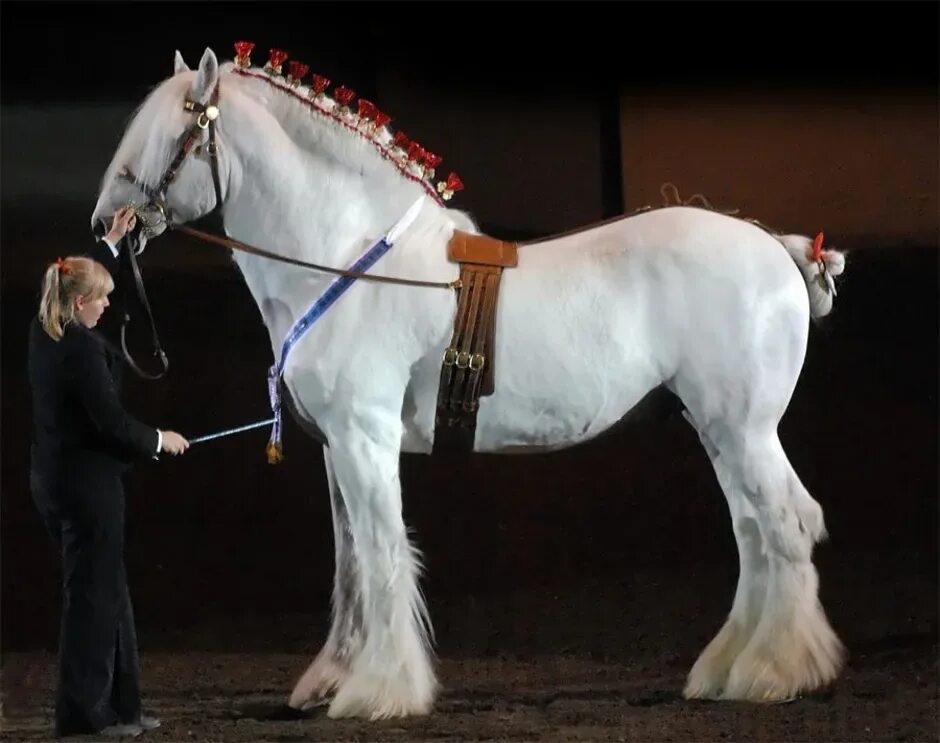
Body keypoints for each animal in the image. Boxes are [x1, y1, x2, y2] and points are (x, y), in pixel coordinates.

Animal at [92, 43, 848, 716]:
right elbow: (351, 563)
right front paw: (332, 681)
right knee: (753, 532)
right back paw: (727, 669)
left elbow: (383, 553)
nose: (105, 224)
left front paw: (379, 692)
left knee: (784, 524)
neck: (344, 259)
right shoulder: (339, 447)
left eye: (177, 129)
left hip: (744, 430)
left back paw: (774, 672)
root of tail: (777, 248)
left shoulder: (365, 440)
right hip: (719, 431)